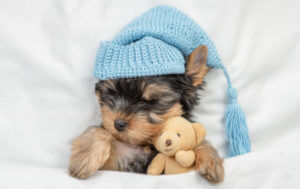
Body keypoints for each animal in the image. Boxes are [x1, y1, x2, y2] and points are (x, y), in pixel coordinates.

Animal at [68, 45, 223, 183]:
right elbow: (99, 130)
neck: (145, 143)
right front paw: (83, 158)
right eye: (111, 93)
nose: (118, 124)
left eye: (152, 101)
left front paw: (212, 161)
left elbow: (198, 141)